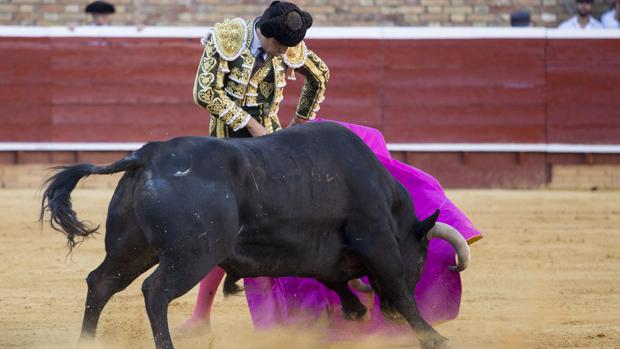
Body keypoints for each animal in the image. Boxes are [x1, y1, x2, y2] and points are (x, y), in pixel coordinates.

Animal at [40, 121, 470, 346]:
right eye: (421, 256)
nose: (390, 316)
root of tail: (148, 155)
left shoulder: (320, 252)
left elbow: (333, 278)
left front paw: (355, 310)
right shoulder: (375, 237)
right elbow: (395, 282)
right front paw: (434, 336)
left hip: (131, 248)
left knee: (101, 282)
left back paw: (87, 341)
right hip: (192, 255)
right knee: (155, 291)